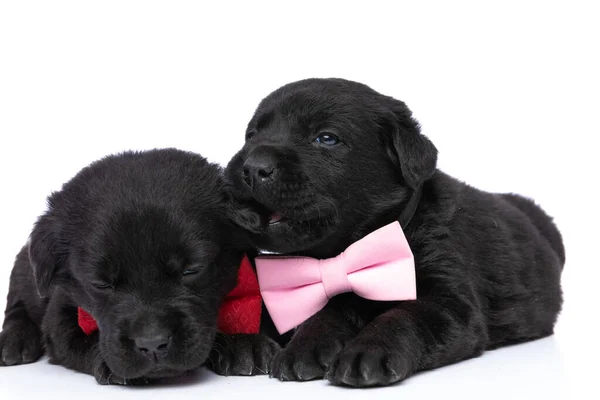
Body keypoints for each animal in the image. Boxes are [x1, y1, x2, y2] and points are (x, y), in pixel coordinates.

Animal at [0, 149, 276, 384]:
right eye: (101, 283)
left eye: (192, 270)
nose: (153, 344)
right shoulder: (59, 313)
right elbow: (75, 339)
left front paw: (243, 342)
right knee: (16, 308)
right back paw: (12, 342)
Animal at [225, 78, 568, 388]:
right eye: (251, 136)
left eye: (326, 138)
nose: (253, 167)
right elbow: (326, 310)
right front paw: (297, 345)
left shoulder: (450, 302)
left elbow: (403, 316)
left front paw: (366, 353)